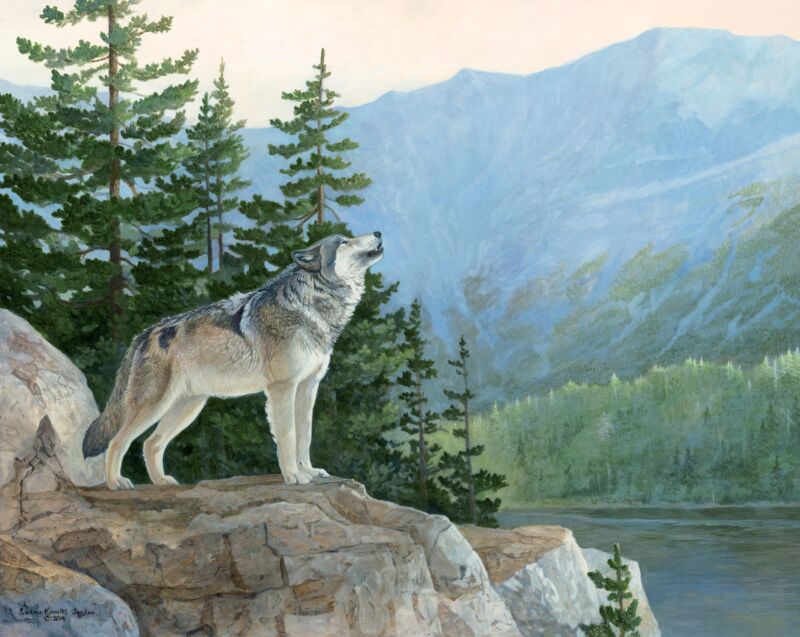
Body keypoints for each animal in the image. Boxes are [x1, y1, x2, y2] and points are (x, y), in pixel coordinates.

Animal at [82, 232, 384, 490]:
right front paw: (293, 476)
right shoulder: (282, 389)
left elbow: (305, 435)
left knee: (150, 444)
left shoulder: (308, 387)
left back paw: (162, 483)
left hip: (187, 408)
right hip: (154, 405)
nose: (379, 233)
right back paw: (116, 483)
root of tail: (144, 334)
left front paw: (308, 471)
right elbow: (288, 436)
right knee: (118, 442)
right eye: (344, 241)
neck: (313, 306)